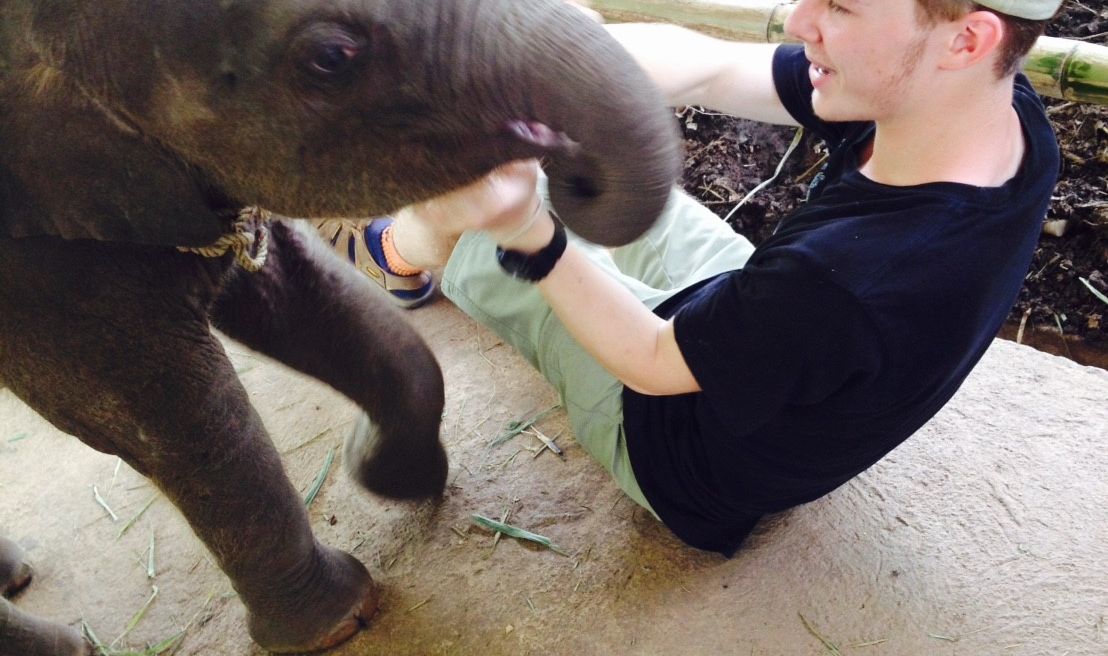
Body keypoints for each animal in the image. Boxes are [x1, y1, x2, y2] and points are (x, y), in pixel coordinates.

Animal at [0, 0, 681, 654]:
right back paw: (64, 645)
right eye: (331, 57)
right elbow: (163, 414)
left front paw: (387, 476)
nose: (568, 164)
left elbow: (315, 299)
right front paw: (339, 623)